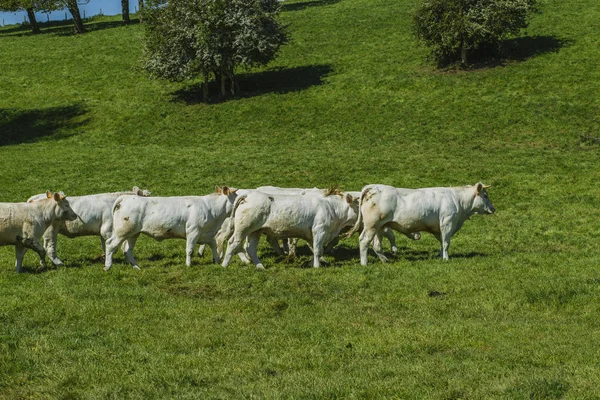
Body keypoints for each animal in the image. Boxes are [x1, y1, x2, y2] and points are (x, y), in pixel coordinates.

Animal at [105, 186, 239, 270]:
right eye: (238, 197)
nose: (242, 201)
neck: (211, 209)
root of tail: (125, 197)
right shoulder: (193, 231)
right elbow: (190, 250)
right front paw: (188, 265)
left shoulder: (206, 233)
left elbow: (213, 245)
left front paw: (216, 260)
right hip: (123, 231)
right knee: (110, 244)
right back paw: (108, 266)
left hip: (133, 233)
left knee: (127, 250)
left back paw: (137, 267)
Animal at [223, 191, 358, 268]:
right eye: (358, 203)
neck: (331, 208)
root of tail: (249, 195)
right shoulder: (320, 231)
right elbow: (317, 250)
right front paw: (316, 266)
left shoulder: (312, 235)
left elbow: (317, 250)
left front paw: (312, 263)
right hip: (243, 229)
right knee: (233, 243)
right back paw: (225, 265)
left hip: (255, 231)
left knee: (250, 248)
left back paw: (260, 266)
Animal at [346, 182, 496, 264]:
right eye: (485, 195)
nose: (493, 209)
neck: (457, 200)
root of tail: (373, 187)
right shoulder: (447, 223)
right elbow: (446, 243)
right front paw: (446, 259)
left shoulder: (438, 228)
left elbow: (442, 242)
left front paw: (441, 256)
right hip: (371, 225)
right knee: (364, 241)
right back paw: (364, 263)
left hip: (380, 227)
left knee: (376, 245)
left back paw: (385, 260)